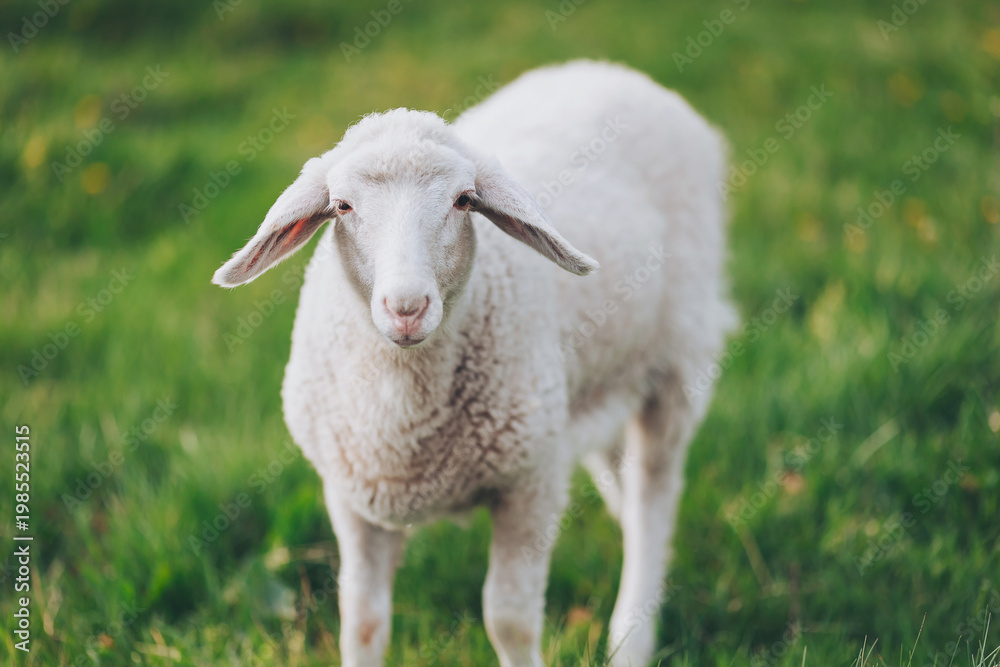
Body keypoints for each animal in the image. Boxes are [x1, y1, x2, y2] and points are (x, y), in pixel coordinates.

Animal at [213, 59, 735, 667]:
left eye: (464, 200)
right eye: (342, 206)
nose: (407, 306)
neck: (406, 414)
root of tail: (613, 70)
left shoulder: (530, 481)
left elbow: (508, 621)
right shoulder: (351, 499)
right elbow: (362, 623)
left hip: (675, 359)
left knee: (655, 494)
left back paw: (632, 634)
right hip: (600, 374)